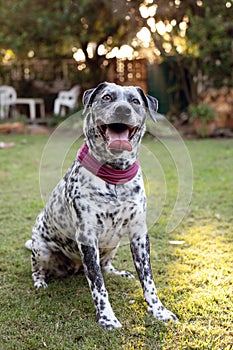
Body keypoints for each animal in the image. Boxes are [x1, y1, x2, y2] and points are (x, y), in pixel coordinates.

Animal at [25, 81, 177, 328]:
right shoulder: (87, 237)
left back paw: (117, 272)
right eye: (106, 97)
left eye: (135, 101)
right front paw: (107, 318)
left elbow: (148, 280)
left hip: (112, 245)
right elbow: (97, 285)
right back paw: (40, 282)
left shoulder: (139, 235)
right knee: (38, 269)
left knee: (105, 266)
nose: (122, 110)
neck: (114, 174)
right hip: (42, 250)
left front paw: (159, 311)